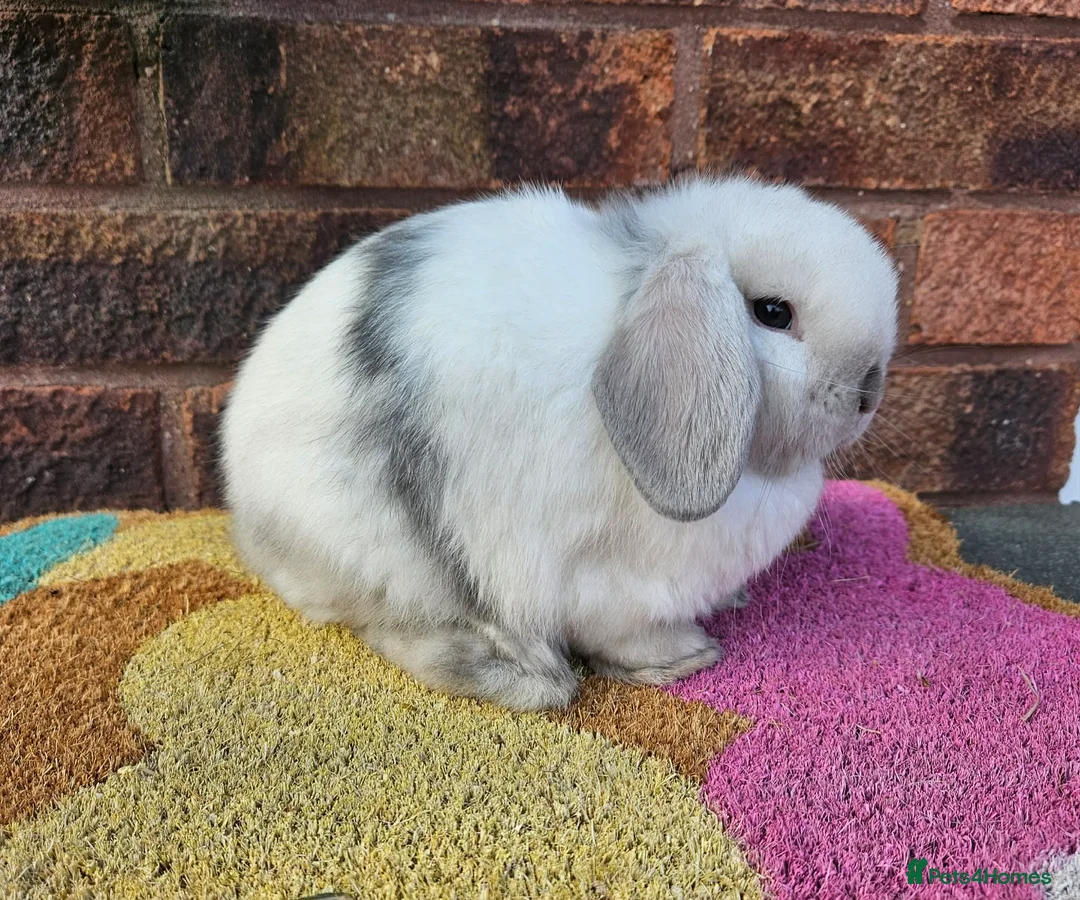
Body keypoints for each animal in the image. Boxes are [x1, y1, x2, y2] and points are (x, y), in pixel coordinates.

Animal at [221, 174, 898, 712]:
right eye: (772, 313)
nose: (869, 390)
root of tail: (247, 523)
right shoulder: (613, 580)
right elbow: (625, 632)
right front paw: (684, 657)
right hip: (387, 558)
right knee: (394, 625)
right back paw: (525, 676)